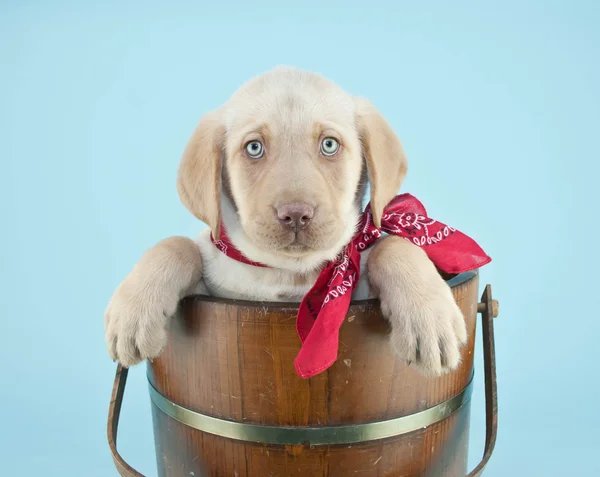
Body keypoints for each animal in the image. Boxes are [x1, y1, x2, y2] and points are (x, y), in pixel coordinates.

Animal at [105, 66, 466, 376]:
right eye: (254, 148)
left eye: (329, 144)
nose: (295, 214)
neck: (291, 274)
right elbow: (177, 245)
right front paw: (132, 311)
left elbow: (392, 246)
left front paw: (429, 318)